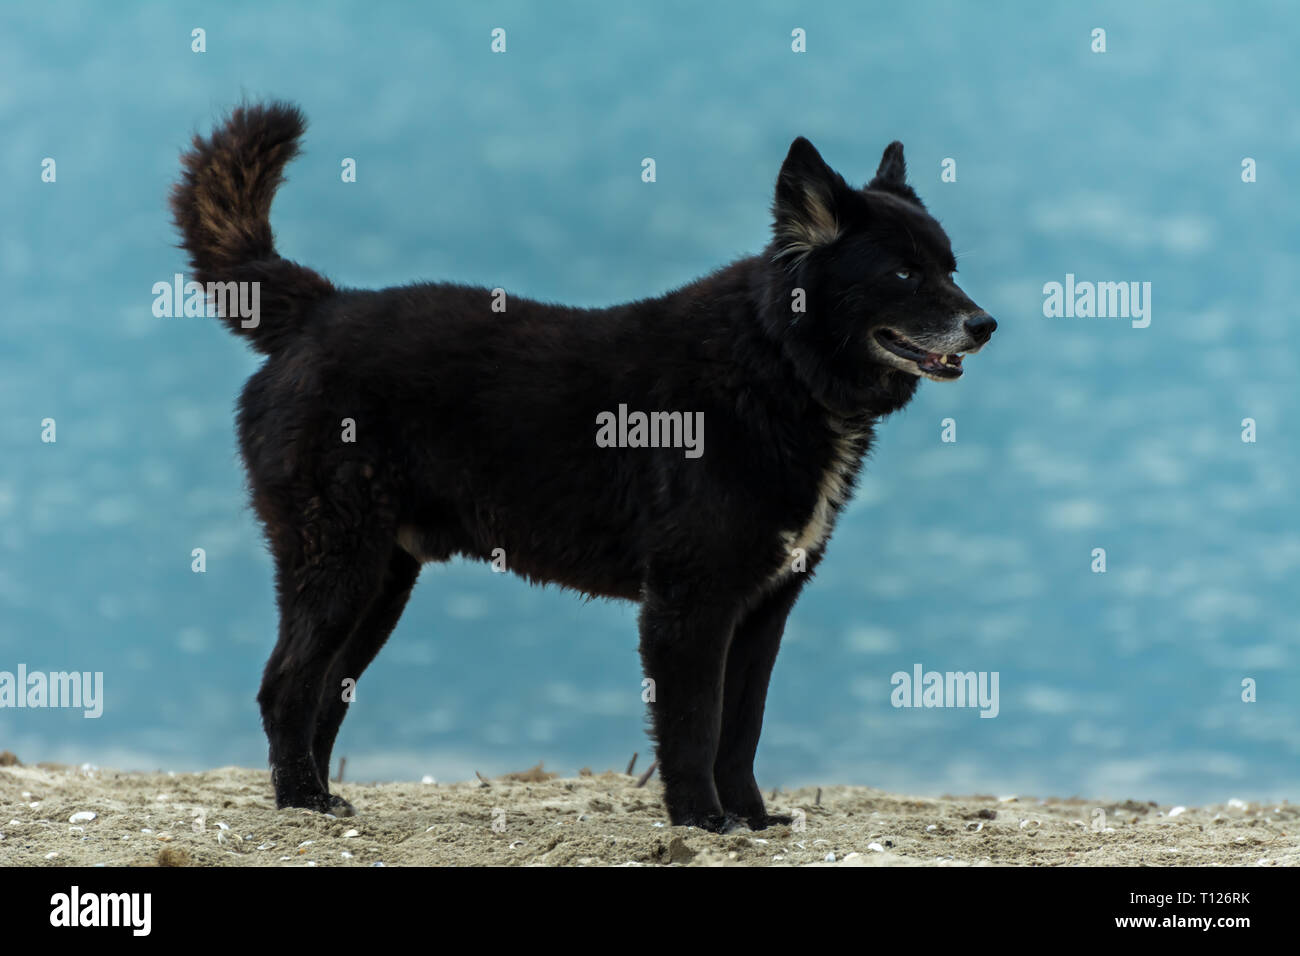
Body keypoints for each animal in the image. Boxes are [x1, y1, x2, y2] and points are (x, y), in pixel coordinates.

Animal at [170, 98, 993, 832]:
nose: (985, 324)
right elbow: (695, 727)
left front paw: (752, 820)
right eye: (902, 274)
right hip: (339, 564)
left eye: (950, 265)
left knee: (320, 695)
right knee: (284, 687)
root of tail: (316, 310)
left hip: (380, 583)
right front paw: (702, 820)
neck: (777, 363)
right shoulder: (688, 606)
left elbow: (742, 729)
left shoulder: (764, 609)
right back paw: (300, 802)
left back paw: (323, 799)